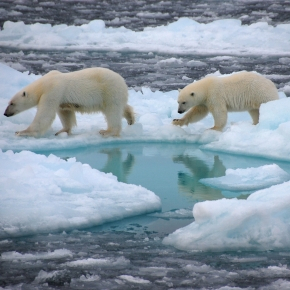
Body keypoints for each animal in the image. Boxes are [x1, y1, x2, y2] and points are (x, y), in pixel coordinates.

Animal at [3, 67, 135, 137]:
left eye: (12, 103)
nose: (5, 113)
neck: (43, 84)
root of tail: (122, 81)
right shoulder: (60, 98)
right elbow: (65, 113)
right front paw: (62, 131)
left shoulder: (53, 91)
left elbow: (45, 114)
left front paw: (22, 132)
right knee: (122, 107)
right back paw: (130, 118)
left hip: (110, 90)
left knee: (113, 111)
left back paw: (107, 131)